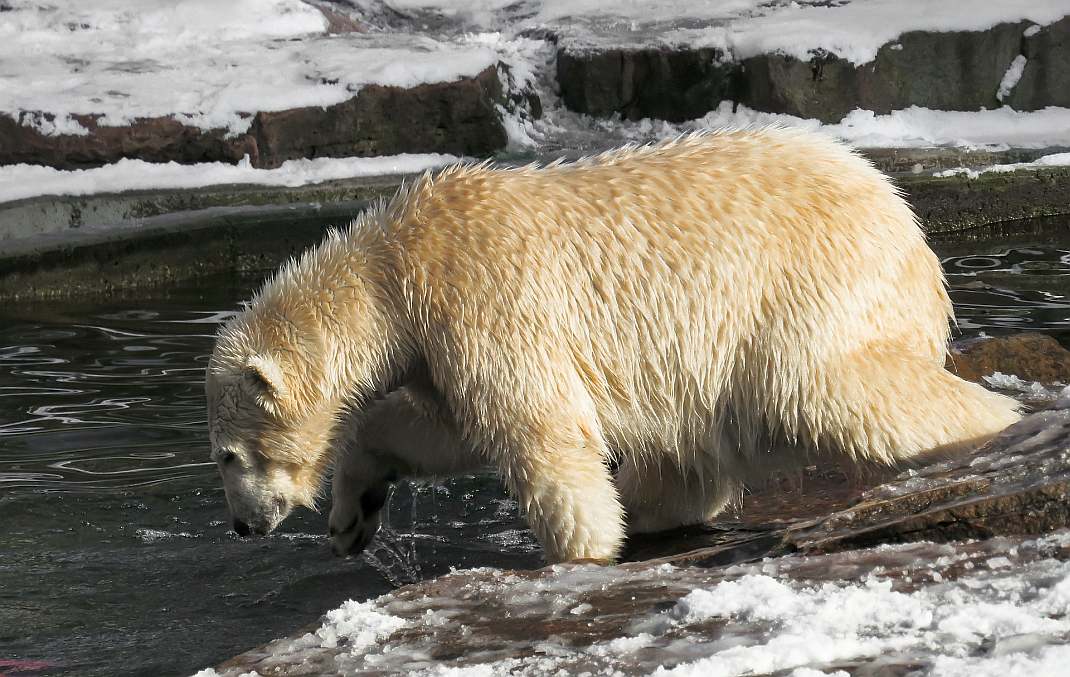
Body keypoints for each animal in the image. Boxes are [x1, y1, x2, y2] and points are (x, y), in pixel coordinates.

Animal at [206, 129, 1018, 560]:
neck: (396, 267)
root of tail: (910, 231)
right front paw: (351, 517)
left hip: (805, 289)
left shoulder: (485, 293)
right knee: (697, 447)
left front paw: (580, 551)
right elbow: (437, 427)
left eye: (227, 455)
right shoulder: (441, 338)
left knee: (824, 389)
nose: (242, 526)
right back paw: (653, 503)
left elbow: (539, 426)